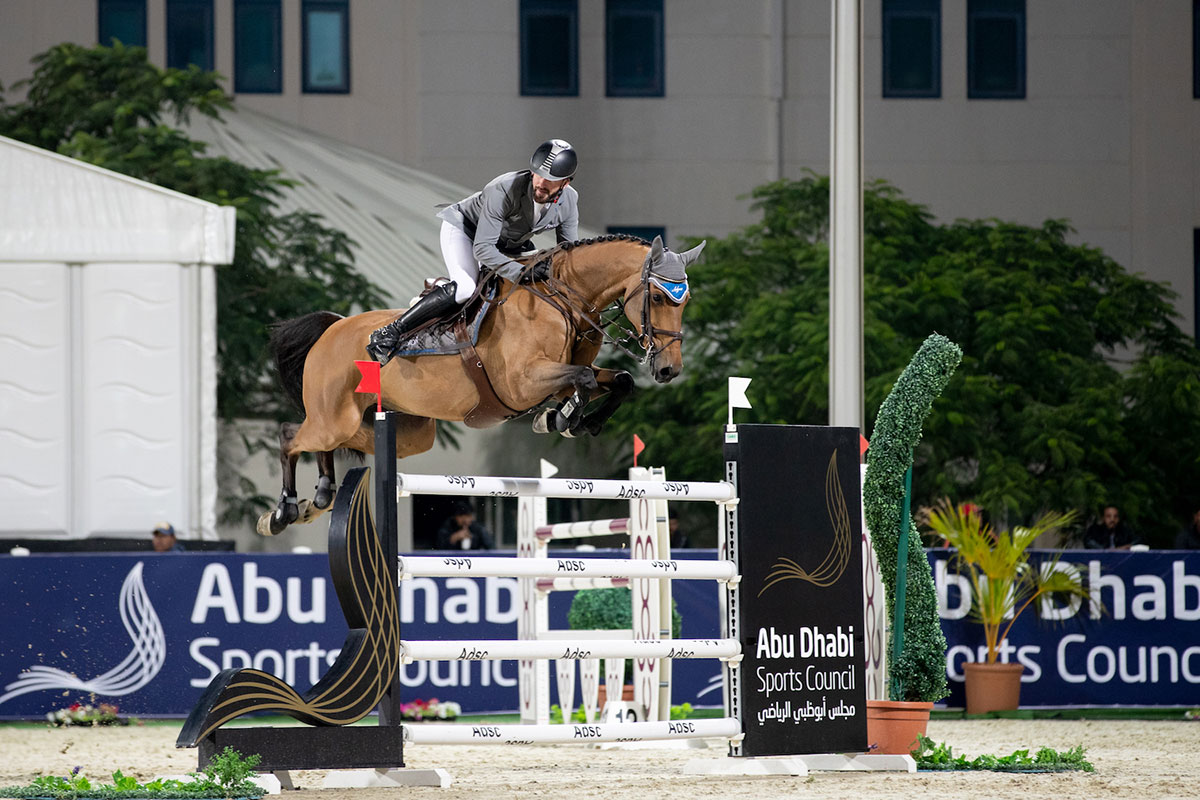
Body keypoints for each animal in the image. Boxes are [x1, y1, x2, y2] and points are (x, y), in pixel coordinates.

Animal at [256, 235, 700, 542]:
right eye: (658, 296)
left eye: (685, 300)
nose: (668, 370)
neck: (562, 300)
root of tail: (332, 328)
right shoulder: (522, 383)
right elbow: (585, 380)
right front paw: (562, 418)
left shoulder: (562, 370)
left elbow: (617, 380)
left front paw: (571, 420)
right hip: (336, 416)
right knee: (291, 435)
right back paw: (282, 513)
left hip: (403, 432)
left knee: (328, 442)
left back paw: (321, 495)